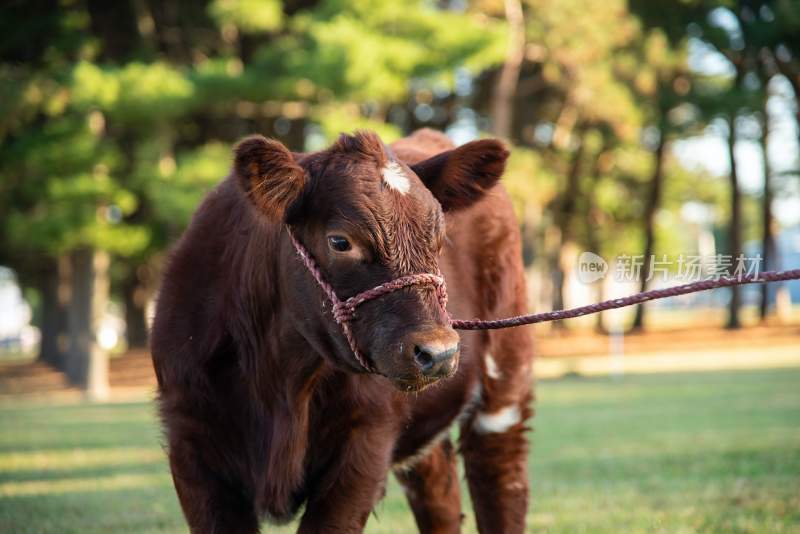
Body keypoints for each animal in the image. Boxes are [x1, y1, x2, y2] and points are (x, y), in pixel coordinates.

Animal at [150, 127, 536, 532]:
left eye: (440, 240)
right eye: (340, 241)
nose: (439, 352)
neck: (279, 379)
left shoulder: (366, 440)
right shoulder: (190, 439)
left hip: (505, 382)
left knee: (499, 479)